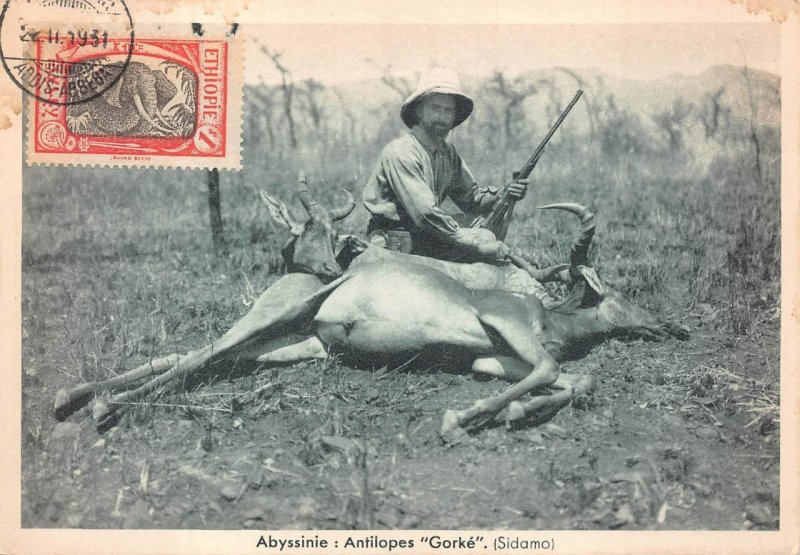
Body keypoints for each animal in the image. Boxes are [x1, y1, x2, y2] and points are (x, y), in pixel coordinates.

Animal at [53, 174, 688, 444]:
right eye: (621, 291)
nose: (671, 327)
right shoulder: (506, 324)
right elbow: (558, 369)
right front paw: (464, 417)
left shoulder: (494, 359)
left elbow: (575, 380)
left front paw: (504, 412)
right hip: (268, 322)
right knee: (196, 356)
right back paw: (102, 405)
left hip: (288, 345)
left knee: (196, 355)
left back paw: (72, 396)